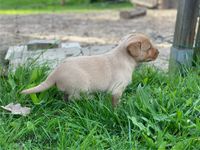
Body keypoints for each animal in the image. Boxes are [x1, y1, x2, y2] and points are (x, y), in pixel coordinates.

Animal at [21, 33, 159, 106]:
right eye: (149, 48)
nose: (158, 52)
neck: (125, 56)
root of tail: (54, 73)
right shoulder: (117, 89)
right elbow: (115, 101)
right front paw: (118, 109)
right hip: (81, 86)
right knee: (75, 98)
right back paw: (90, 99)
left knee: (66, 97)